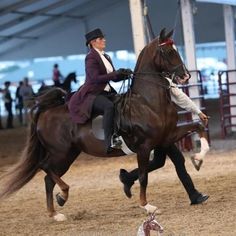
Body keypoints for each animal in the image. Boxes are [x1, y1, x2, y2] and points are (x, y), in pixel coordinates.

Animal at [0, 28, 209, 220]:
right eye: (167, 52)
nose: (185, 77)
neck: (147, 102)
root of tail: (46, 111)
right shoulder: (144, 146)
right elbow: (143, 176)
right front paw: (147, 206)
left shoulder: (167, 137)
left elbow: (198, 128)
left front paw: (198, 160)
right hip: (60, 152)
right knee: (45, 167)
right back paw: (63, 195)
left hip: (69, 153)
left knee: (47, 178)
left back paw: (56, 212)